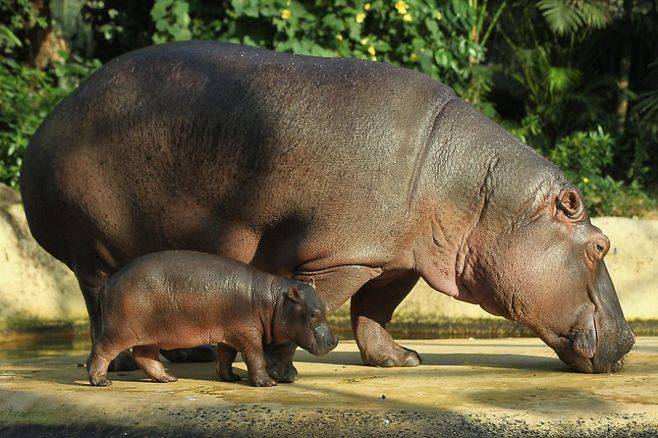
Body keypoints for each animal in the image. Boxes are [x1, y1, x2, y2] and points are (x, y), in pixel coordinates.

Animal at [87, 250, 336, 386]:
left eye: (324, 308)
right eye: (313, 314)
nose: (334, 341)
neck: (272, 299)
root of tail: (109, 282)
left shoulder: (229, 334)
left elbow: (226, 356)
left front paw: (231, 378)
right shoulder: (248, 333)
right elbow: (255, 357)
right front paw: (268, 383)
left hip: (148, 333)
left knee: (145, 357)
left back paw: (168, 379)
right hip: (120, 331)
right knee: (102, 350)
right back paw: (101, 381)